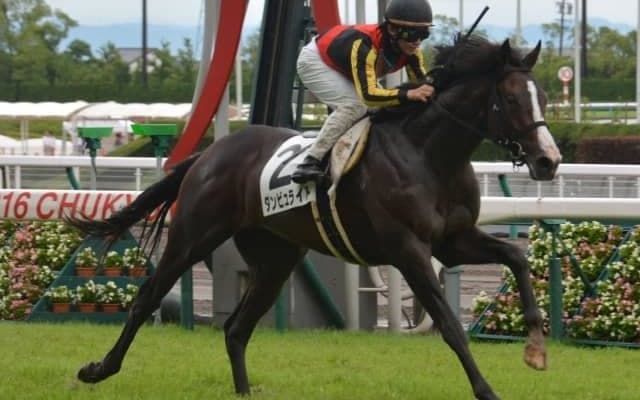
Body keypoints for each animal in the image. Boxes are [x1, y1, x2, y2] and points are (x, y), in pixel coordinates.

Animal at [67, 34, 561, 400]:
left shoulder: (453, 241)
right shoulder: (409, 250)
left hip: (276, 257)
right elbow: (451, 326)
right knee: (148, 297)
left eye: (543, 97)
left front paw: (536, 349)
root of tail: (209, 153)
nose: (549, 161)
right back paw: (99, 369)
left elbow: (517, 257)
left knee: (236, 327)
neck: (429, 155)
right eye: (512, 98)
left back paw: (243, 391)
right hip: (194, 235)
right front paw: (487, 390)